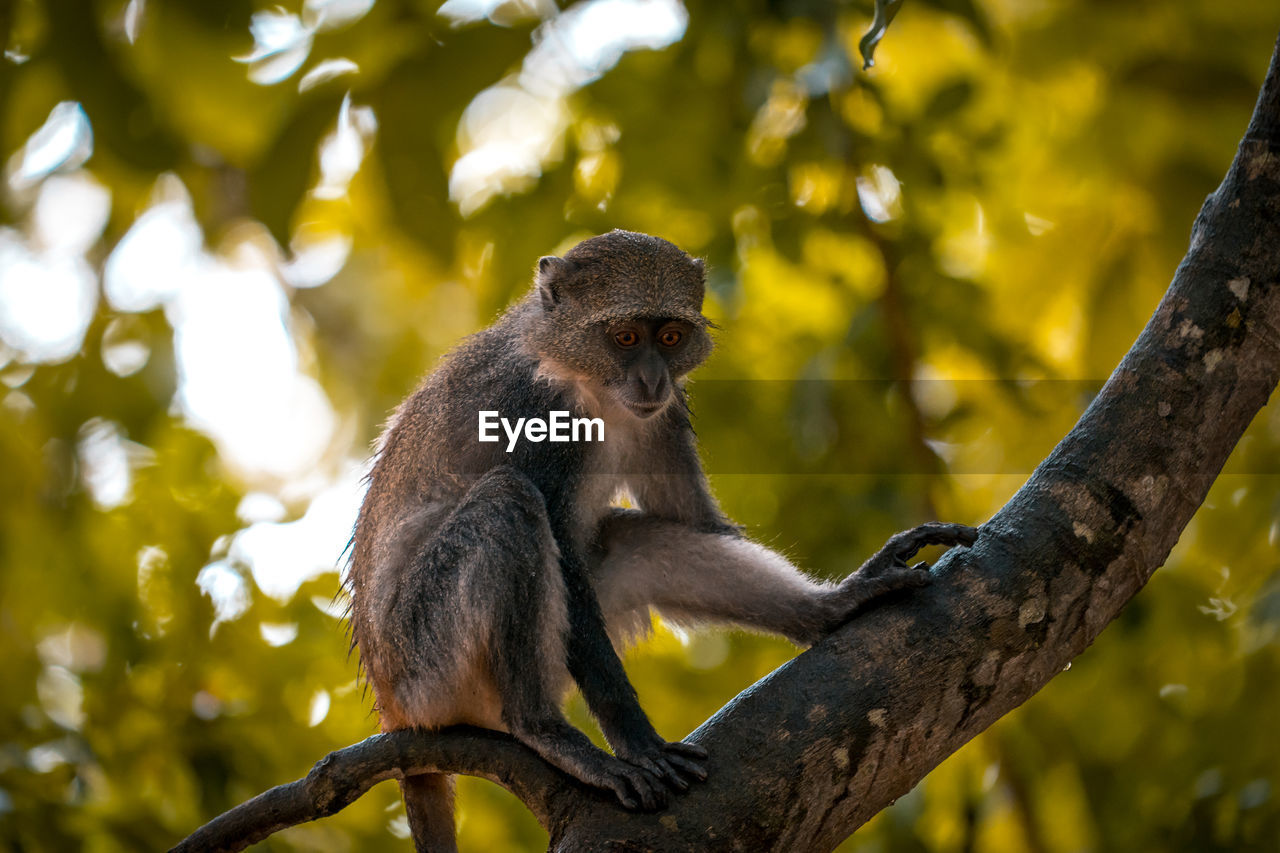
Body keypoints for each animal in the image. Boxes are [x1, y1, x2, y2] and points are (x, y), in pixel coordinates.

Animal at [345, 229, 972, 845]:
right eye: (624, 336)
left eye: (670, 337)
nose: (651, 378)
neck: (586, 382)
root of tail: (392, 702)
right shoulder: (533, 410)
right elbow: (560, 551)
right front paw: (638, 744)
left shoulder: (668, 410)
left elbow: (696, 521)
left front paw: (838, 597)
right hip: (427, 661)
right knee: (508, 502)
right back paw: (543, 730)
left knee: (635, 540)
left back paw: (827, 611)